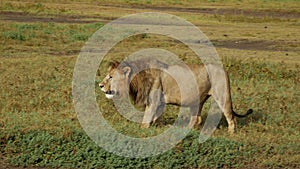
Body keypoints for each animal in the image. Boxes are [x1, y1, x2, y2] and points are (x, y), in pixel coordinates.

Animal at [99, 59, 252, 133]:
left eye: (111, 77)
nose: (100, 85)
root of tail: (224, 70)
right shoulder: (160, 103)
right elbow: (156, 118)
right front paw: (159, 128)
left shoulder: (153, 101)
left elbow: (146, 119)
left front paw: (142, 130)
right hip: (197, 101)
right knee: (196, 119)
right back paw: (185, 131)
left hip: (223, 96)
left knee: (231, 118)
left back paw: (231, 133)